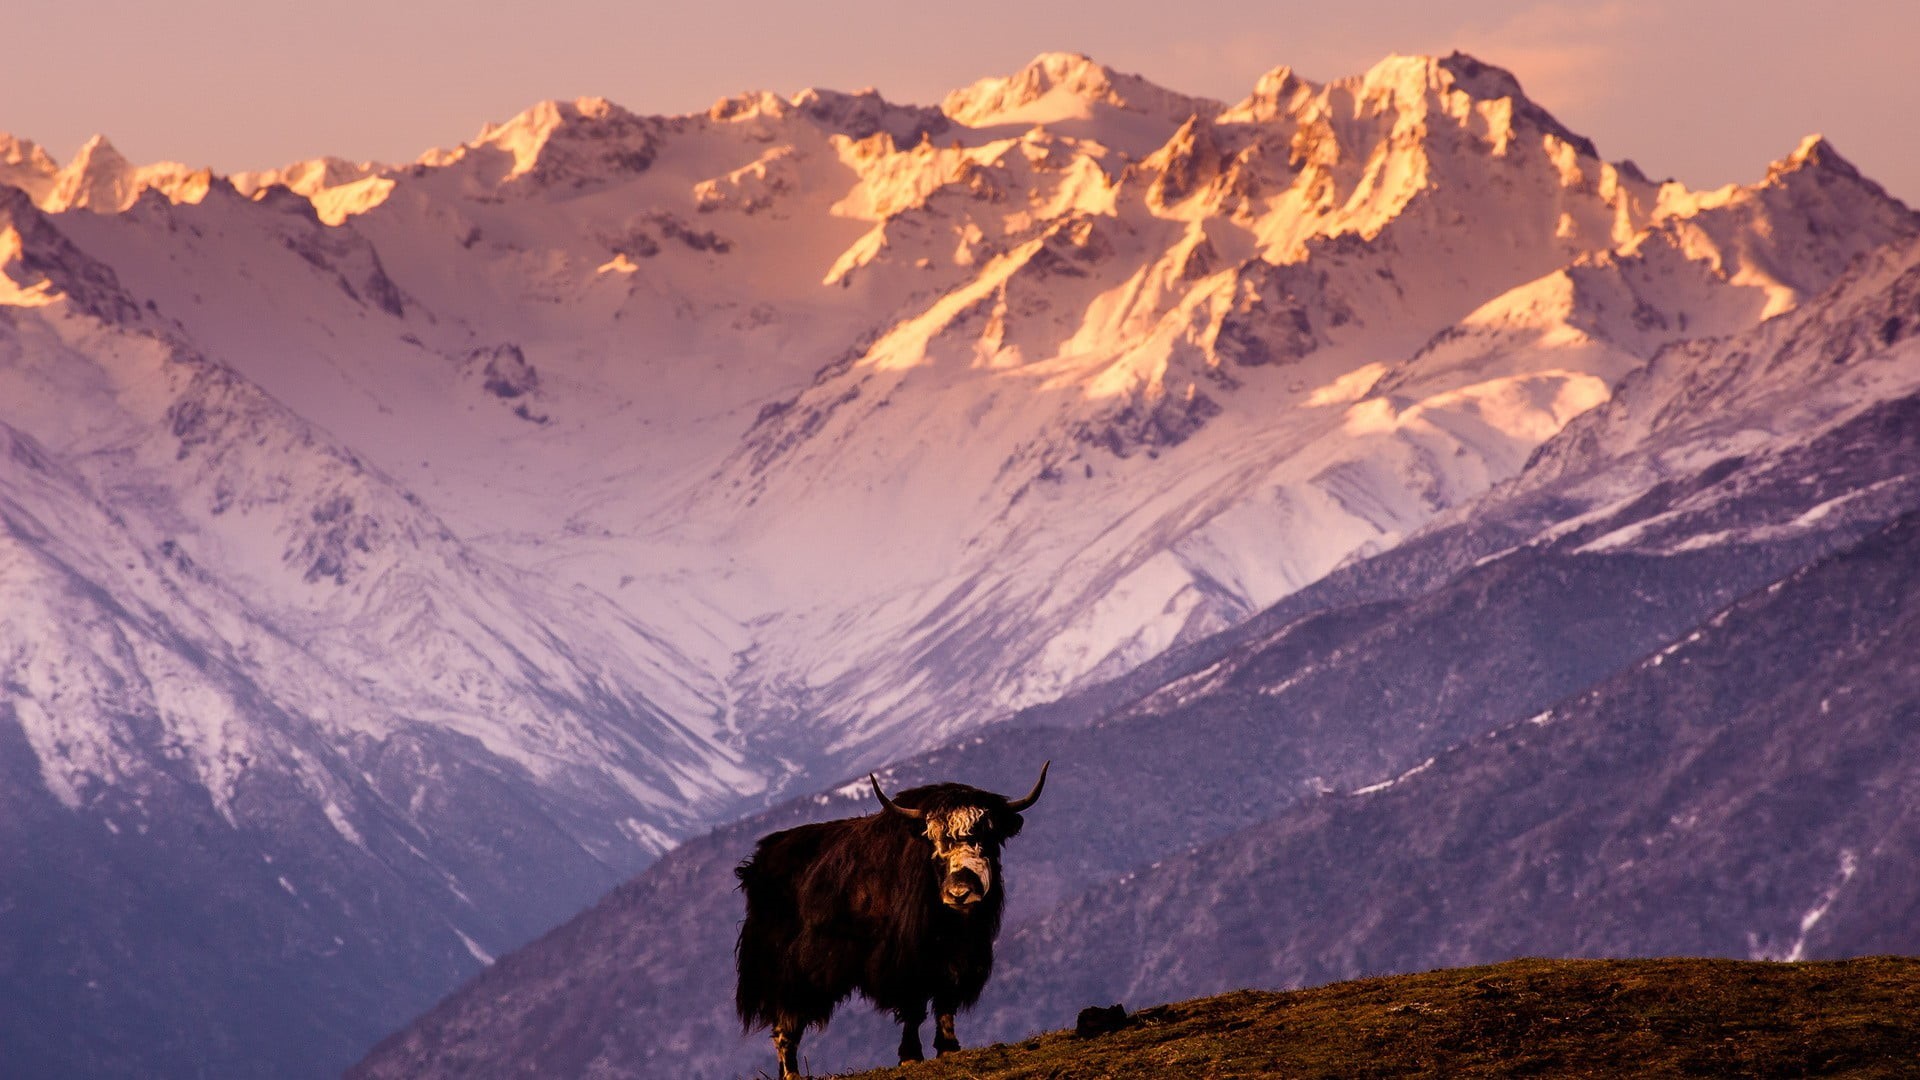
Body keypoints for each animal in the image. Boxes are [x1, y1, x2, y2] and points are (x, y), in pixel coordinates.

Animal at [734, 763, 1049, 1079]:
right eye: (934, 840)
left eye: (987, 836)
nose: (959, 893)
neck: (951, 925)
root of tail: (757, 864)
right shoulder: (906, 959)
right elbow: (914, 1007)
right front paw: (910, 1056)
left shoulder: (959, 958)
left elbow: (945, 998)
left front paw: (948, 1048)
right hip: (785, 973)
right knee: (785, 1024)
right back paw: (792, 1073)